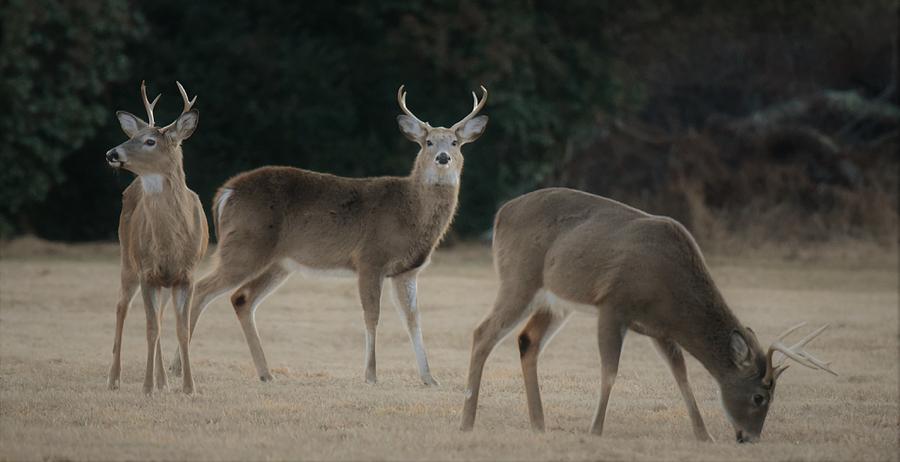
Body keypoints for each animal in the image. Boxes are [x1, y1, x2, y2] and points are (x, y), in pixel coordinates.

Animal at [106, 81, 208, 396]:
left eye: (150, 141)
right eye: (132, 136)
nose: (111, 153)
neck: (170, 243)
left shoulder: (186, 274)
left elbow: (181, 330)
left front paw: (188, 387)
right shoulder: (148, 272)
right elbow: (151, 330)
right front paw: (147, 387)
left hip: (164, 282)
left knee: (161, 318)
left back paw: (164, 381)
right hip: (128, 259)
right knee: (121, 307)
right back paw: (114, 378)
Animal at [170, 85, 488, 384]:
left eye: (455, 142)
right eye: (428, 142)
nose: (443, 157)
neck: (409, 213)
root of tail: (225, 193)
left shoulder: (406, 271)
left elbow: (413, 320)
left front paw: (429, 378)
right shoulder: (370, 258)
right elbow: (372, 315)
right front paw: (370, 375)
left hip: (277, 262)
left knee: (241, 298)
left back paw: (265, 373)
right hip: (244, 245)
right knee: (202, 289)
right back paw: (178, 368)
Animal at [464, 189, 836, 444]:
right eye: (760, 396)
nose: (750, 438)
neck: (670, 286)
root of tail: (501, 214)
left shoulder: (661, 329)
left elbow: (681, 376)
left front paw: (704, 435)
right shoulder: (613, 305)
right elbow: (610, 371)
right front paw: (596, 429)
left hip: (556, 302)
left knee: (527, 340)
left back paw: (539, 424)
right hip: (519, 279)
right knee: (482, 332)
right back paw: (467, 421)